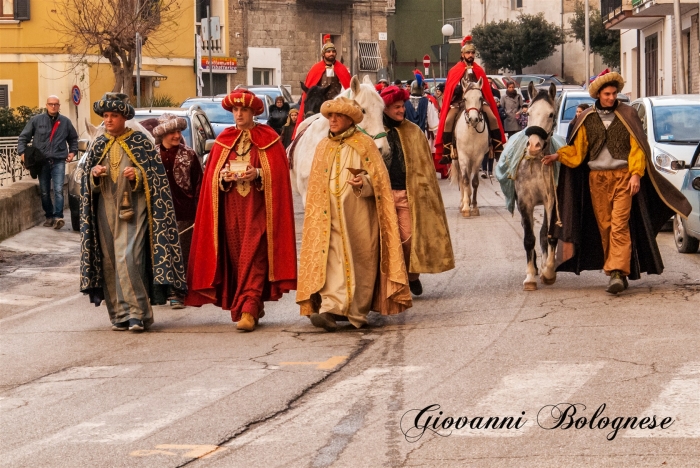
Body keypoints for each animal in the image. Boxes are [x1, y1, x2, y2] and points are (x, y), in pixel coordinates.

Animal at [452, 78, 490, 218]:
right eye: (465, 99)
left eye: (480, 98)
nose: (474, 119)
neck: (472, 132)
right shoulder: (463, 157)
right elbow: (465, 180)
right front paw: (466, 208)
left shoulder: (478, 158)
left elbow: (474, 182)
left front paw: (474, 207)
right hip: (457, 160)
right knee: (461, 178)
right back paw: (462, 202)